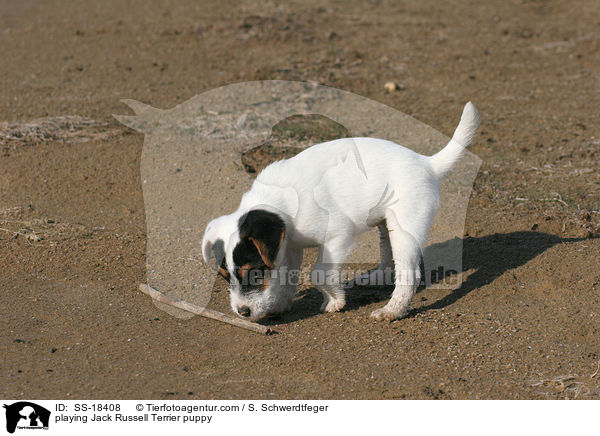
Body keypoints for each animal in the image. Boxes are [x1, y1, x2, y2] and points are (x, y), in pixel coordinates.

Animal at [202, 101, 478, 320]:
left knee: (408, 272)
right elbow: (286, 278)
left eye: (255, 273)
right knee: (387, 252)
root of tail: (426, 163)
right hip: (384, 221)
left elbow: (319, 273)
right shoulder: (288, 246)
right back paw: (376, 279)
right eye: (225, 277)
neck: (279, 202)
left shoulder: (336, 237)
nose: (243, 312)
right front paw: (279, 304)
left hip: (405, 228)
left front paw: (335, 301)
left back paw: (392, 311)